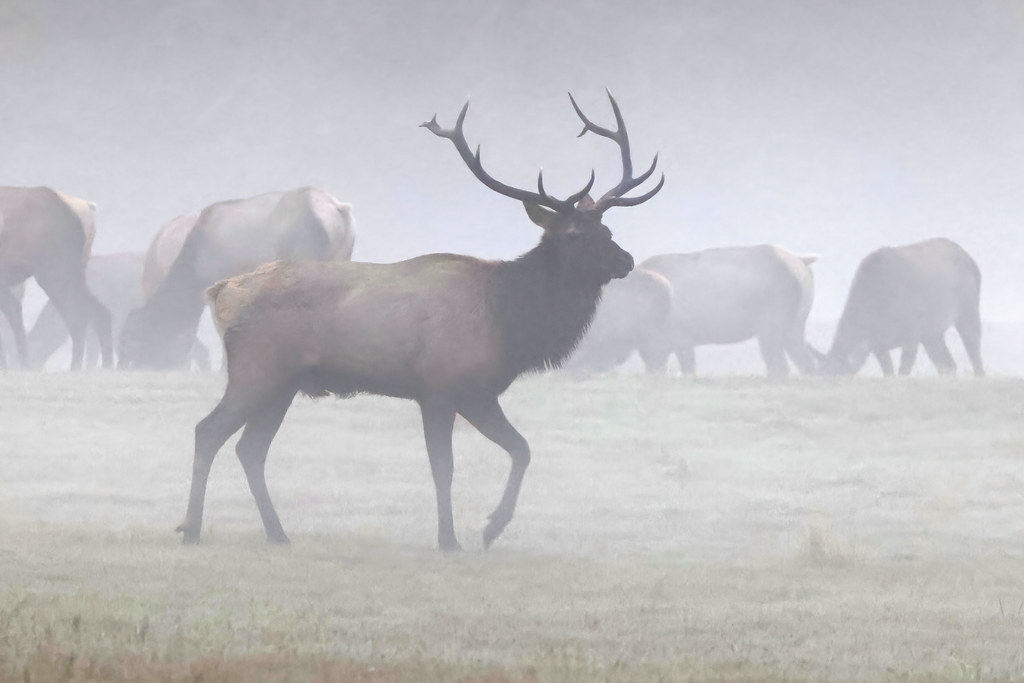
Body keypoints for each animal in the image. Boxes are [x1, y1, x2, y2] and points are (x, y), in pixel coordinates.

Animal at [176, 92, 663, 551]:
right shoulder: (440, 388)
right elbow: (444, 468)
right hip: (256, 369)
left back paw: (277, 533)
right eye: (574, 233)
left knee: (250, 449)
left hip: (284, 384)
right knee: (208, 432)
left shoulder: (479, 393)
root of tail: (221, 291)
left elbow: (522, 449)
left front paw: (490, 528)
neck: (508, 321)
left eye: (608, 229)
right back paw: (191, 528)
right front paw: (452, 539)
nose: (626, 260)